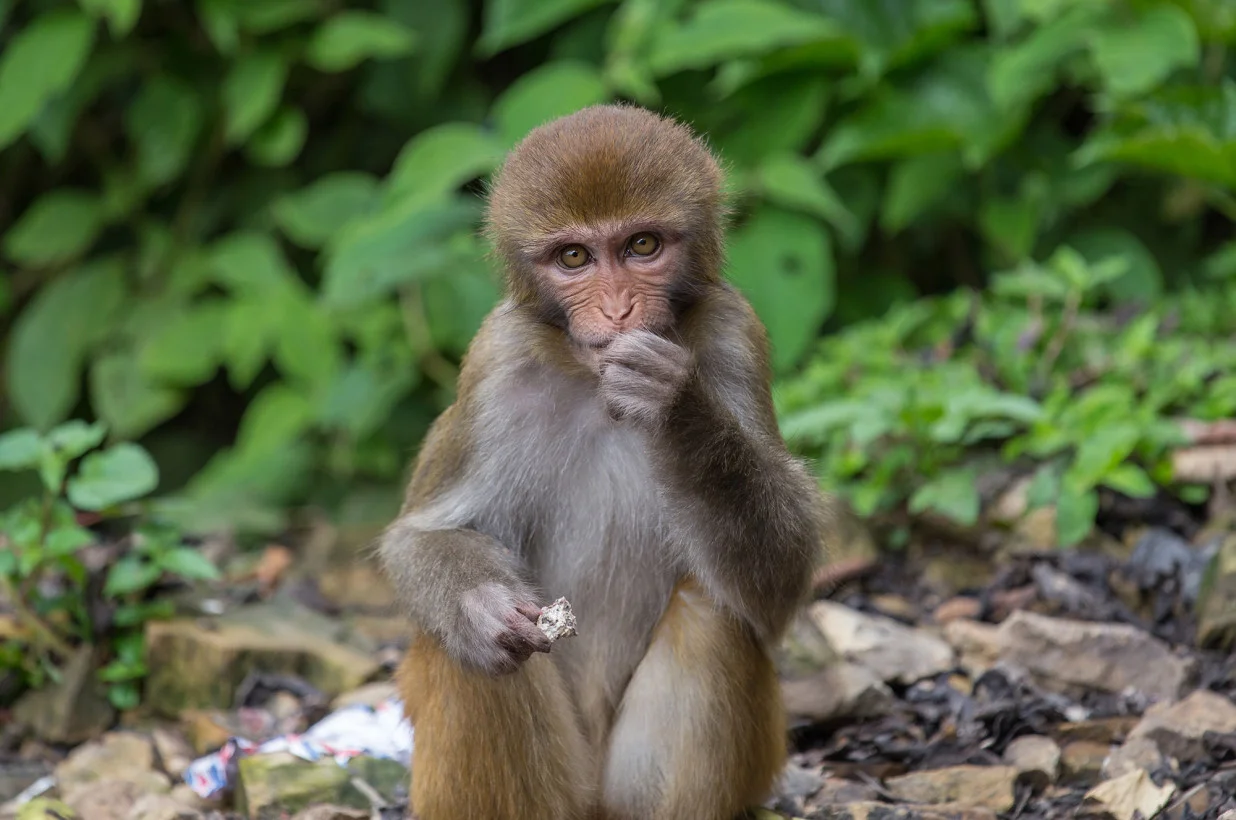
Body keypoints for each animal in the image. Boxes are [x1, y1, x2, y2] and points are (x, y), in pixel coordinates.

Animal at [378, 104, 826, 820]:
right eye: (574, 257)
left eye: (641, 246)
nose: (618, 310)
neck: (595, 387)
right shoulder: (495, 361)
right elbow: (423, 535)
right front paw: (481, 609)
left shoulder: (734, 335)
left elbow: (776, 588)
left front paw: (674, 405)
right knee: (464, 655)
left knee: (711, 613)